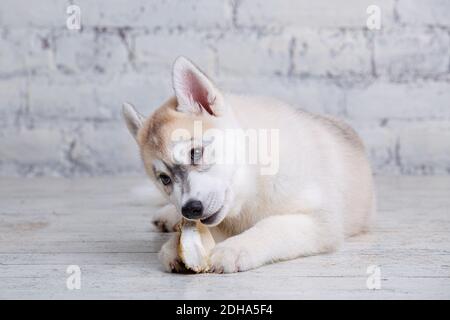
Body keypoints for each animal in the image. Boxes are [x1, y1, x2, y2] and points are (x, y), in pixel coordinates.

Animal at [123, 56, 376, 274]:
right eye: (164, 179)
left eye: (195, 153)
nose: (190, 209)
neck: (252, 182)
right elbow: (211, 226)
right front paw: (177, 244)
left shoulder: (321, 220)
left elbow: (272, 226)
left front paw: (235, 248)